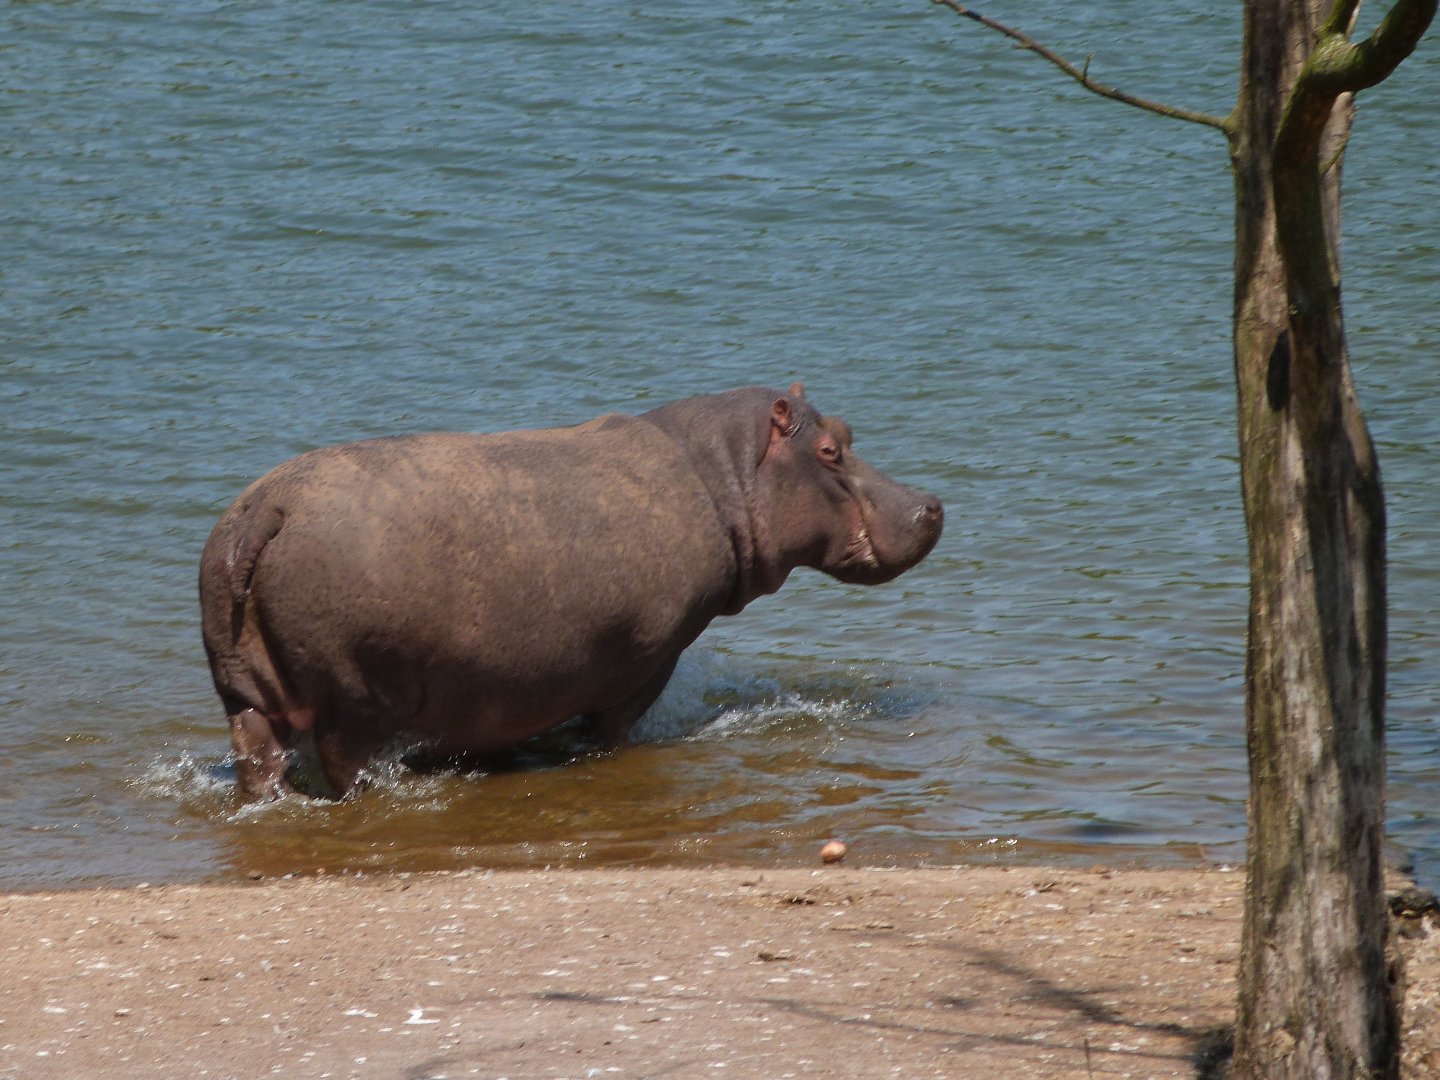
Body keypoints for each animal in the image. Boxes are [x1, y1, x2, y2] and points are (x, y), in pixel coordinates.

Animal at [199, 384, 942, 800]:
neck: (724, 474)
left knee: (258, 756)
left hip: (246, 691)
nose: (932, 503)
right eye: (828, 450)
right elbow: (611, 730)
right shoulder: (649, 660)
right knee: (342, 763)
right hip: (354, 701)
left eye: (846, 432)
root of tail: (268, 509)